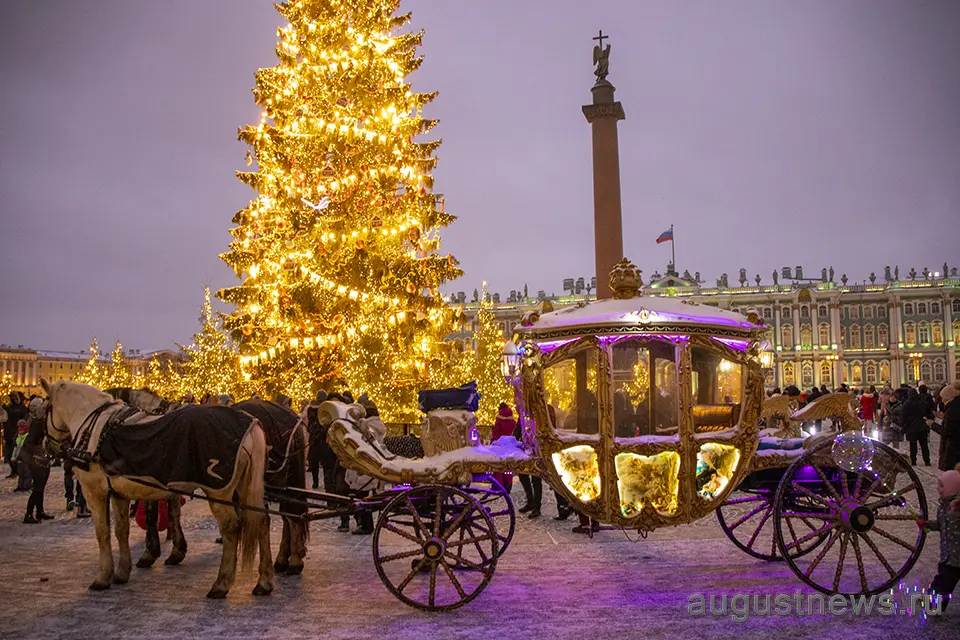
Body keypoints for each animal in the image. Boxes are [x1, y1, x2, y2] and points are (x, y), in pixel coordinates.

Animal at [41, 378, 274, 596]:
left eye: (43, 409)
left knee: (231, 527)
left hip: (219, 490)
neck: (98, 428)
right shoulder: (120, 493)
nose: (48, 446)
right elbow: (122, 530)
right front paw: (122, 571)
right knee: (261, 521)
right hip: (244, 486)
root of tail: (250, 423)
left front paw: (103, 577)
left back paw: (221, 583)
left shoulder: (95, 491)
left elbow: (104, 532)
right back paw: (264, 581)